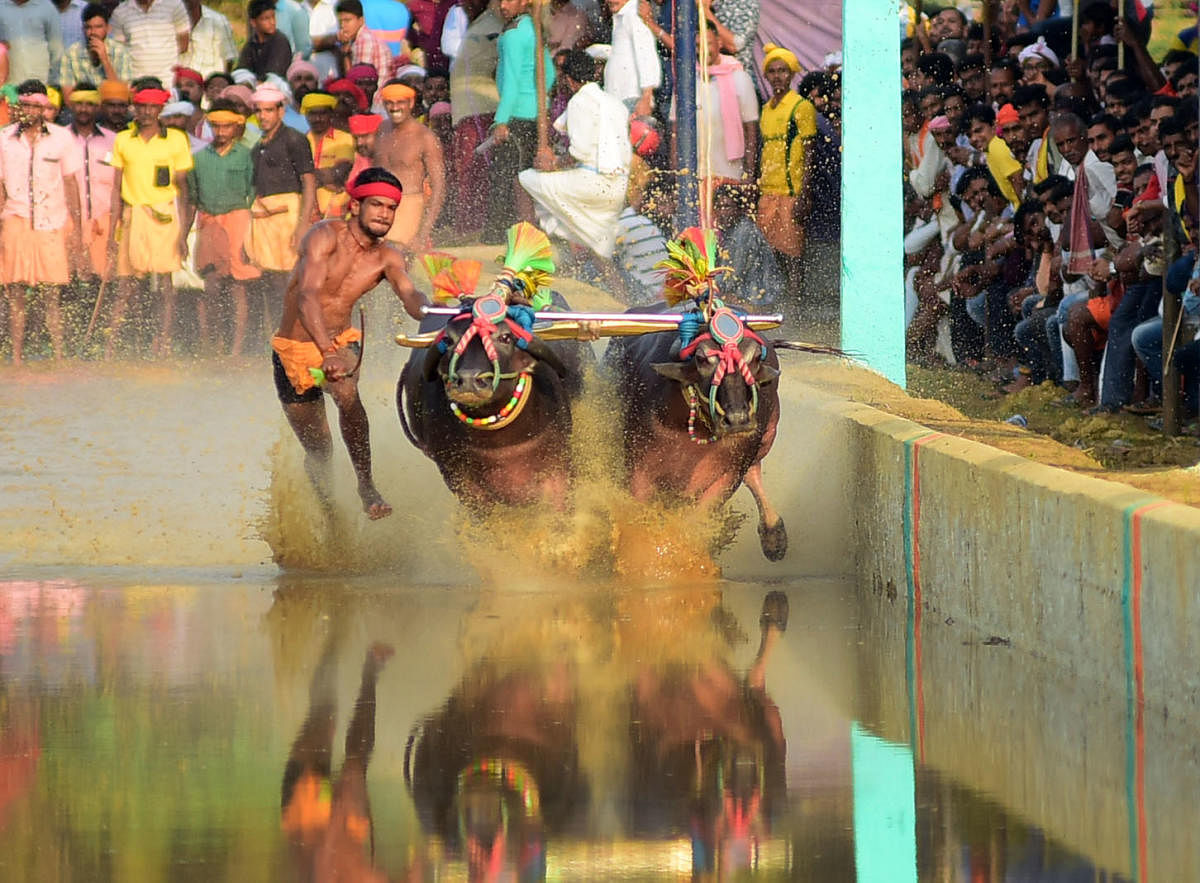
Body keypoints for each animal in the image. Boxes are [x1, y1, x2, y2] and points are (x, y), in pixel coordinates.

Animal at [400, 292, 588, 511]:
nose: (469, 380)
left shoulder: (559, 468)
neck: (502, 445)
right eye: (448, 339)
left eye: (505, 337)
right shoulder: (459, 479)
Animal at [600, 303, 787, 561]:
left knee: (754, 471)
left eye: (756, 357)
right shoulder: (638, 466)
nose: (737, 419)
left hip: (768, 436)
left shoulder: (730, 472)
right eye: (701, 358)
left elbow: (695, 522)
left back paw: (774, 536)